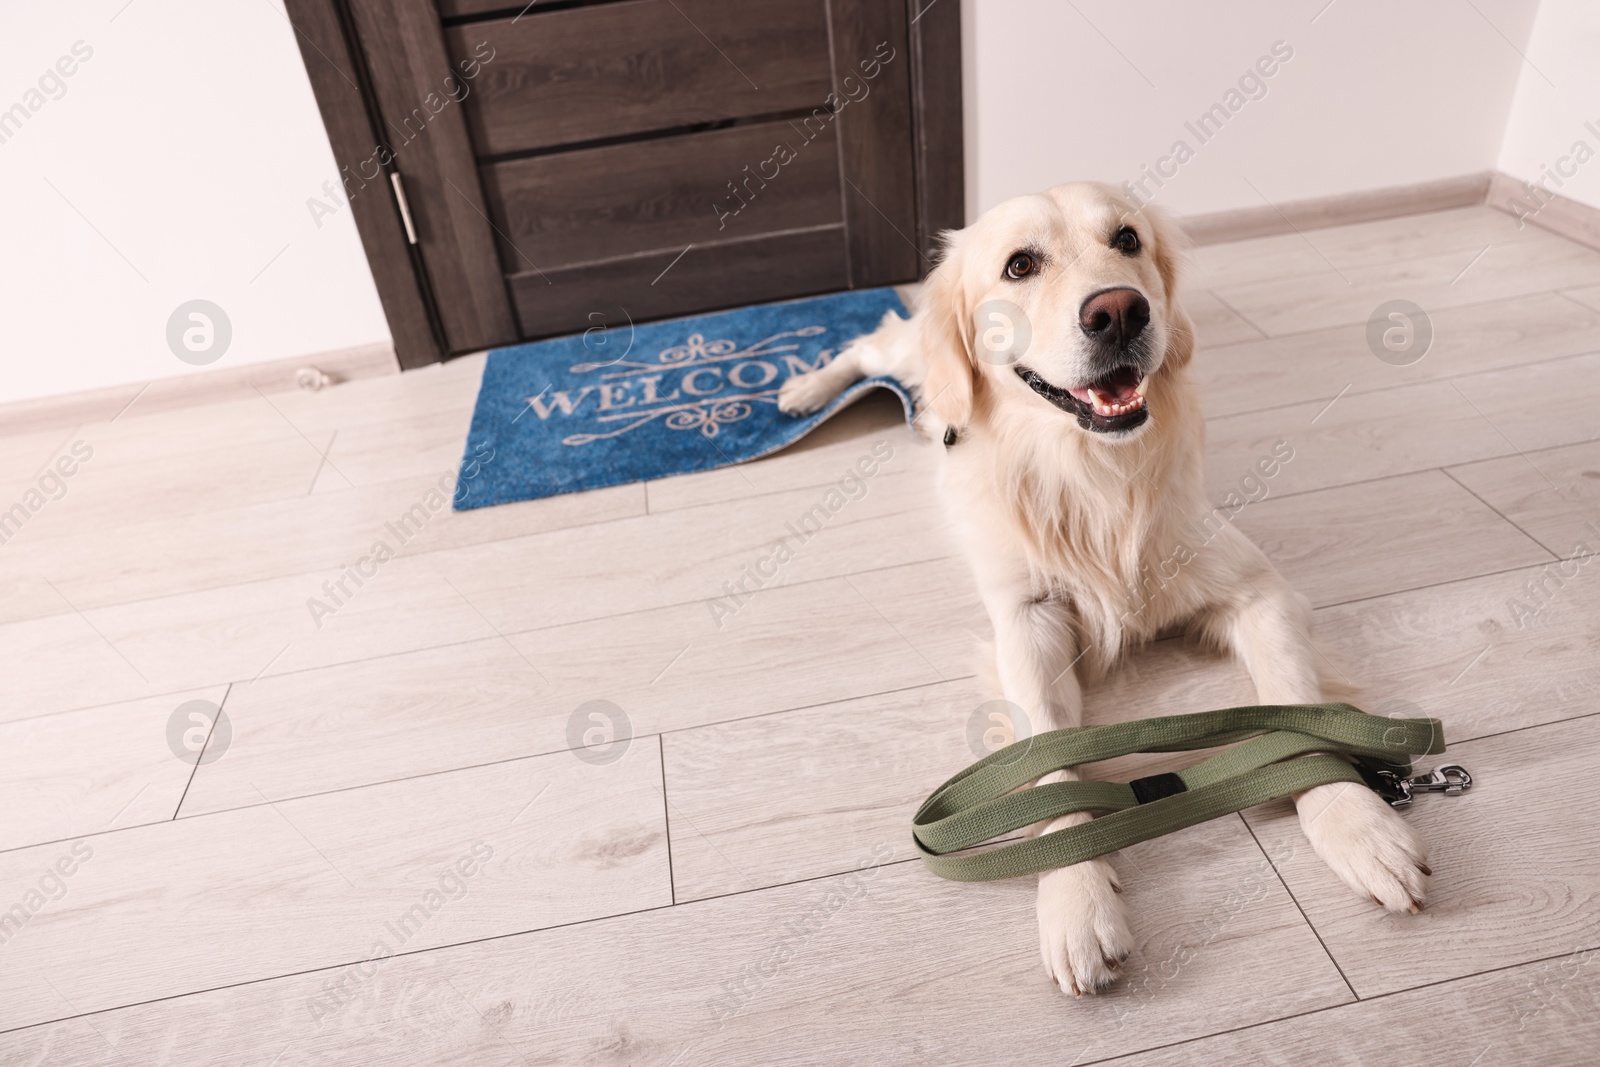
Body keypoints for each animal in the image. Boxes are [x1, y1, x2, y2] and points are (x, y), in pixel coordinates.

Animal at [780, 185, 1433, 1004]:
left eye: (1126, 240)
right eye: (1019, 265)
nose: (1120, 311)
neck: (1091, 472)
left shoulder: (1259, 590)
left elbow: (1298, 709)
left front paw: (1358, 824)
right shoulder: (1026, 623)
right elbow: (1052, 761)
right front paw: (1076, 899)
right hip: (911, 357)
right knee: (876, 343)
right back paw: (802, 388)